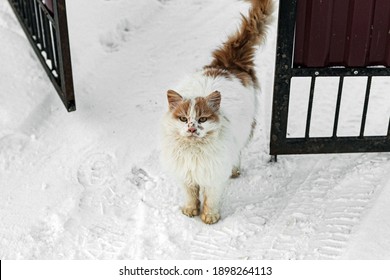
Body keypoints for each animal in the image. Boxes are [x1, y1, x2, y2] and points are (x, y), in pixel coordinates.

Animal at [160, 0, 272, 224]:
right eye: (183, 118)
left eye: (202, 119)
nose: (192, 128)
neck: (194, 152)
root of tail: (227, 64)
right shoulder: (186, 175)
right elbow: (190, 196)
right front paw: (190, 210)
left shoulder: (213, 175)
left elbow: (210, 199)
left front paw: (209, 217)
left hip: (244, 131)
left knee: (237, 154)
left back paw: (235, 171)